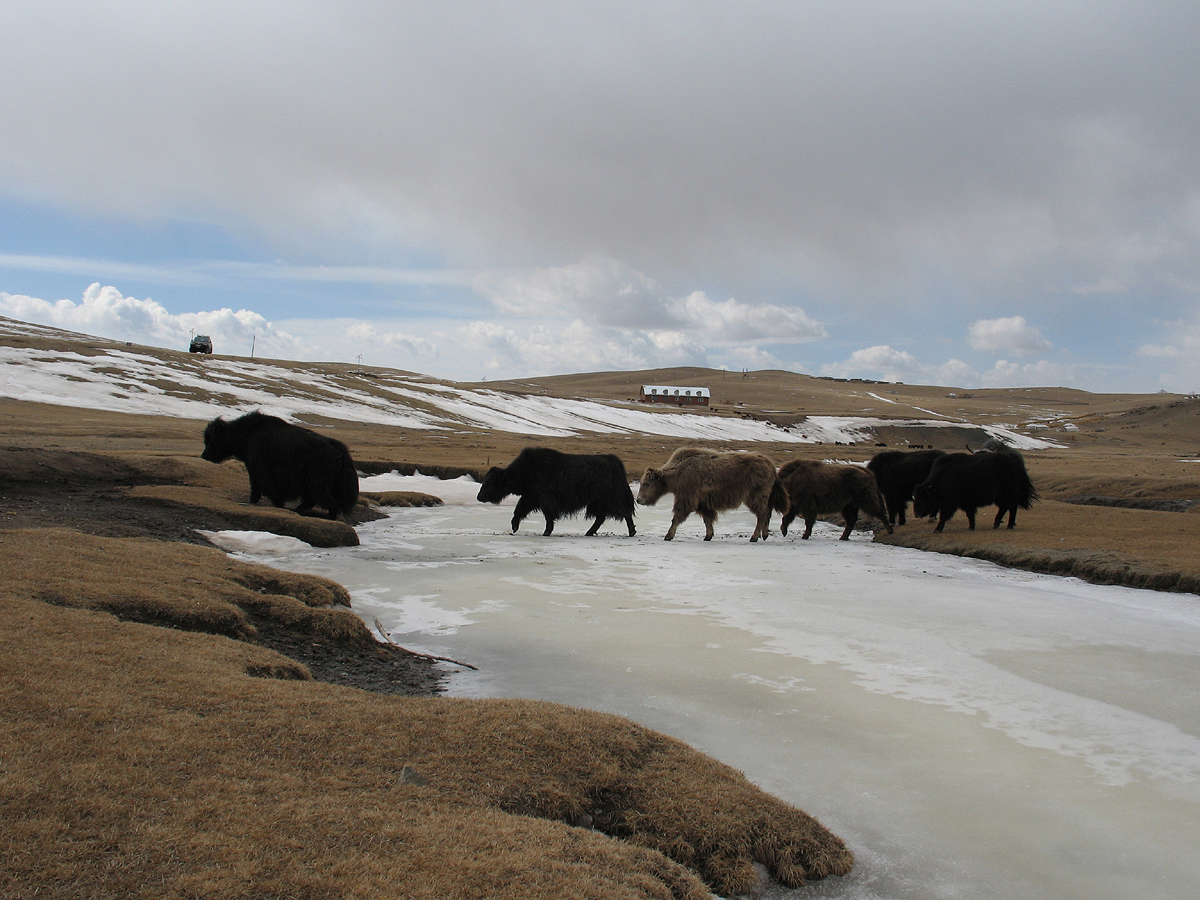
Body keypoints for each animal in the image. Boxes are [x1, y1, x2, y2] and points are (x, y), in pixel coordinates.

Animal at [201, 410, 359, 521]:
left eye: (211, 440)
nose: (204, 456)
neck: (246, 435)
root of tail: (340, 452)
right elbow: (256, 487)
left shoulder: (258, 467)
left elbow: (260, 487)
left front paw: (272, 504)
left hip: (317, 481)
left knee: (322, 500)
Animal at [476, 447, 636, 536]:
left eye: (489, 482)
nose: (479, 497)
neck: (524, 471)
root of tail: (615, 463)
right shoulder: (530, 497)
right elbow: (519, 510)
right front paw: (514, 527)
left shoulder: (543, 498)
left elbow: (547, 516)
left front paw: (546, 532)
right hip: (599, 501)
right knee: (601, 517)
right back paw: (589, 532)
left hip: (612, 498)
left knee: (625, 513)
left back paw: (631, 532)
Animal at [636, 447, 788, 542]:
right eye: (642, 482)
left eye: (647, 484)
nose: (638, 499)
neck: (677, 473)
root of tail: (770, 465)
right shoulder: (703, 501)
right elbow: (707, 518)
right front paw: (708, 535)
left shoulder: (687, 496)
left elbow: (677, 516)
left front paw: (668, 535)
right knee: (767, 511)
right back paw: (765, 534)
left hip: (755, 493)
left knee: (762, 513)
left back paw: (754, 537)